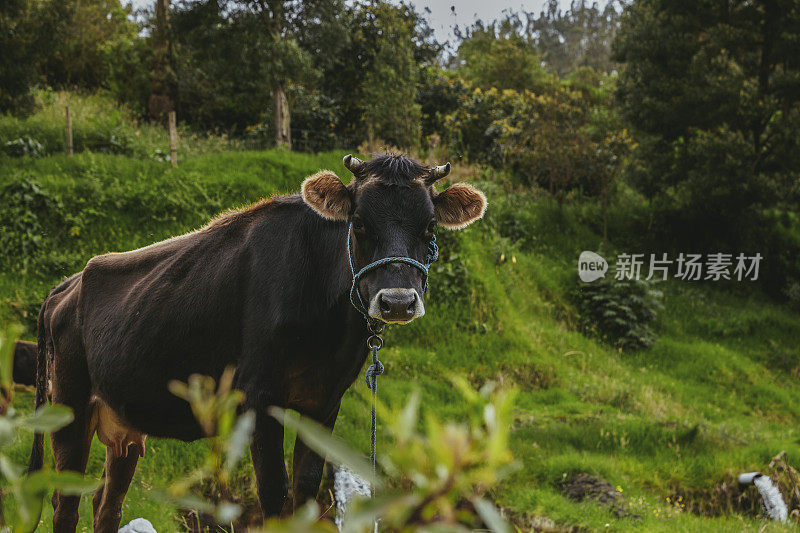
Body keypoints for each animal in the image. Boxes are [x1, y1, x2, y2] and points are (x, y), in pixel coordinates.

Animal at [26, 152, 488, 528]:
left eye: (429, 225)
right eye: (359, 223)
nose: (396, 301)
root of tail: (67, 284)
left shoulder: (324, 401)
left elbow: (304, 490)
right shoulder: (259, 394)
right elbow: (273, 492)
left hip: (123, 421)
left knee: (106, 504)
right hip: (68, 407)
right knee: (64, 503)